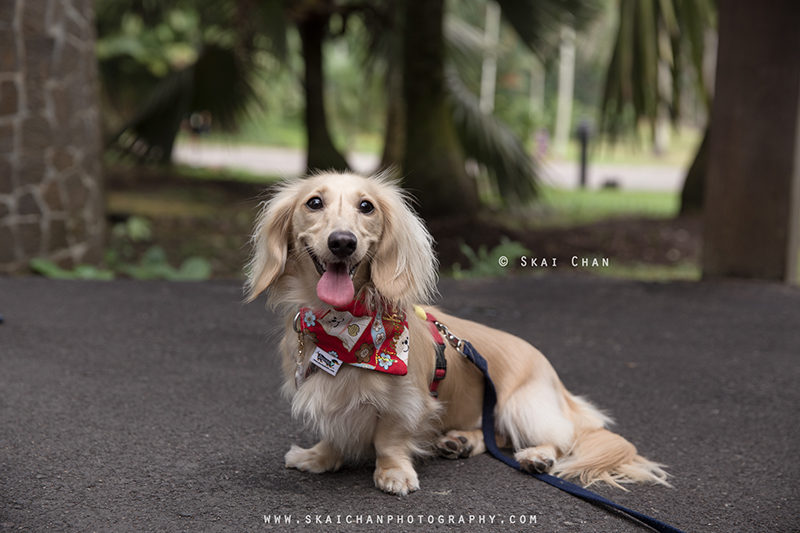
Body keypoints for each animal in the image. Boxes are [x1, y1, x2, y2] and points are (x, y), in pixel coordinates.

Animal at [245, 172, 668, 496]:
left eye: (367, 207)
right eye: (314, 203)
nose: (342, 242)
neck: (344, 332)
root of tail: (558, 384)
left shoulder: (408, 403)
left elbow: (388, 439)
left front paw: (392, 472)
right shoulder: (322, 393)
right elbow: (332, 433)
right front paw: (318, 457)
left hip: (522, 405)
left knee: (557, 439)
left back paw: (536, 455)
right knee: (496, 436)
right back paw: (460, 440)